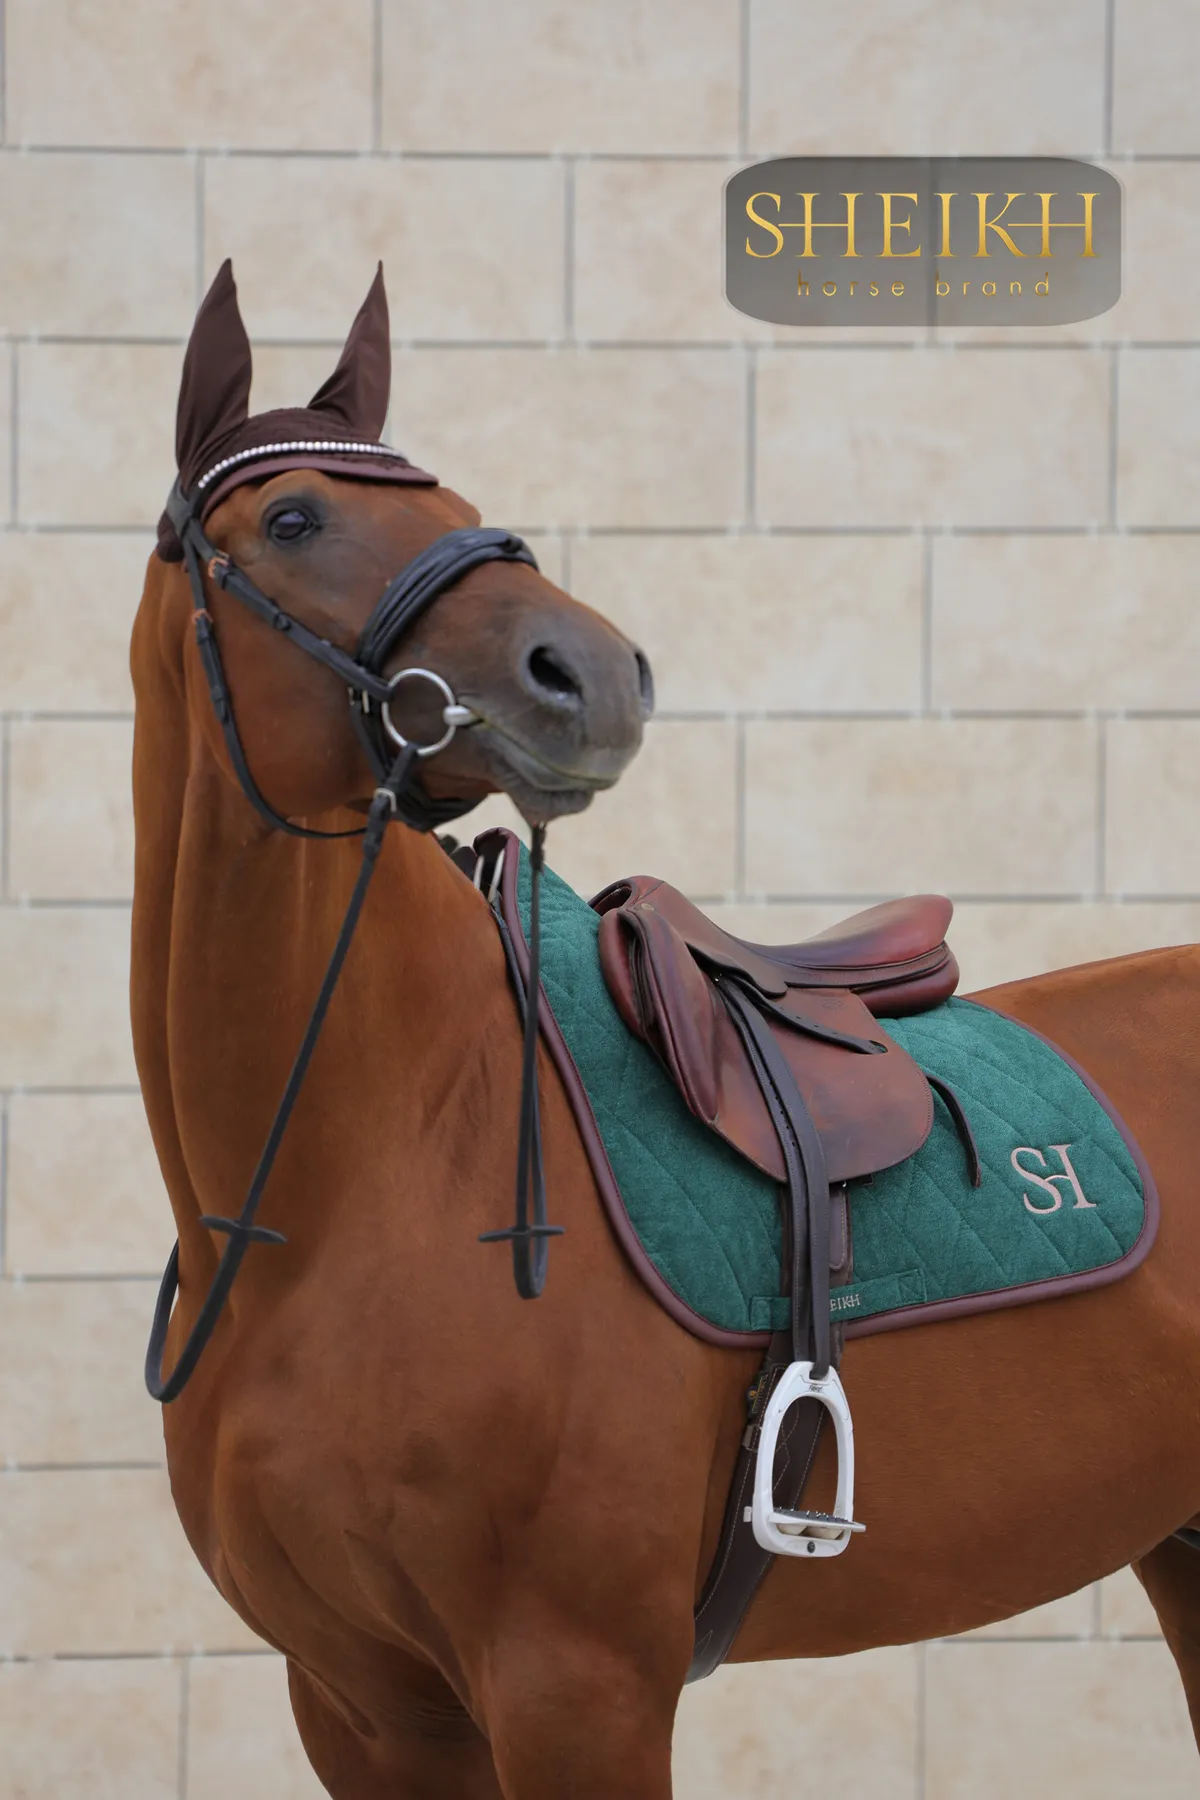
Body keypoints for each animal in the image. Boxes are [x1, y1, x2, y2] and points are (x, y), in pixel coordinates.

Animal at [132, 266, 1200, 1797]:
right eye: (291, 518)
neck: (350, 1197)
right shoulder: (363, 1710)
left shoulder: (580, 1694)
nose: (590, 672)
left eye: (455, 493)